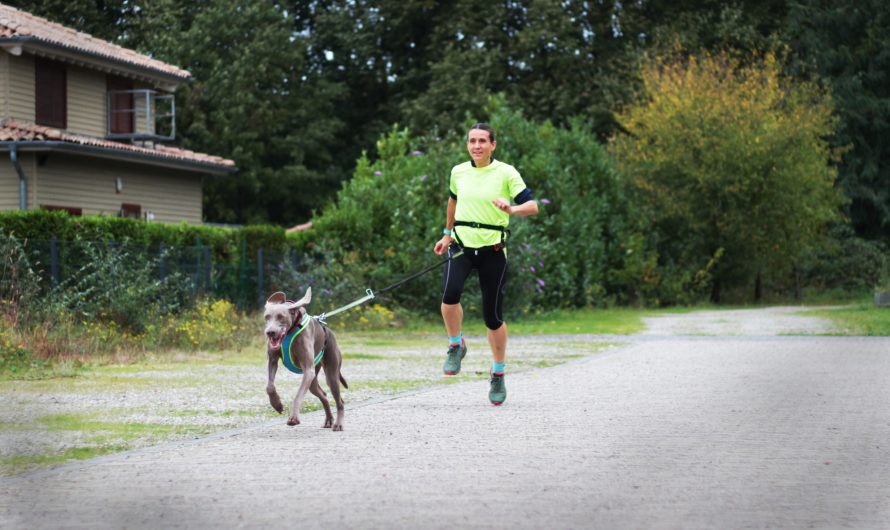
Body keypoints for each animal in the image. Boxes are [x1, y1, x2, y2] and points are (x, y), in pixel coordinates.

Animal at [262, 288, 346, 428]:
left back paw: (338, 424)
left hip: (331, 374)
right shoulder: (272, 360)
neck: (290, 331)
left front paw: (294, 418)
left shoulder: (308, 370)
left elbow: (298, 396)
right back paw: (329, 420)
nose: (270, 332)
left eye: (281, 316)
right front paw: (277, 404)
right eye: (266, 317)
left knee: (340, 401)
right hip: (313, 379)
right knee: (323, 395)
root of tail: (329, 332)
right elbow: (269, 387)